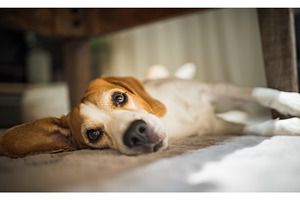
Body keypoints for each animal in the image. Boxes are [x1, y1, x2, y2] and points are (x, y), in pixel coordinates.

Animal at [0, 75, 300, 158]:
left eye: (119, 97)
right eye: (93, 134)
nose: (135, 132)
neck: (174, 120)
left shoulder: (216, 89)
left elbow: (263, 93)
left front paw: (292, 102)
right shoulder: (217, 126)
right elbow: (260, 127)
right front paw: (290, 126)